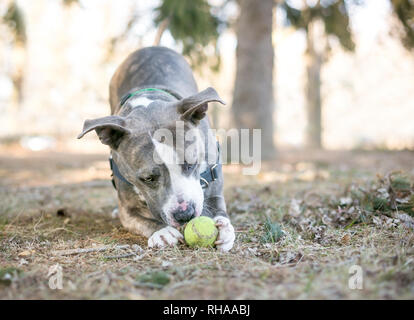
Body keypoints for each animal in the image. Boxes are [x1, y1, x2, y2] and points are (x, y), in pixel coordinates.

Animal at [76, 47, 234, 252]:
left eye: (191, 165)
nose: (185, 214)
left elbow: (219, 208)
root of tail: (150, 47)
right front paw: (162, 231)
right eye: (148, 179)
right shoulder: (128, 210)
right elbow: (141, 219)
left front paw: (224, 230)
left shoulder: (214, 186)